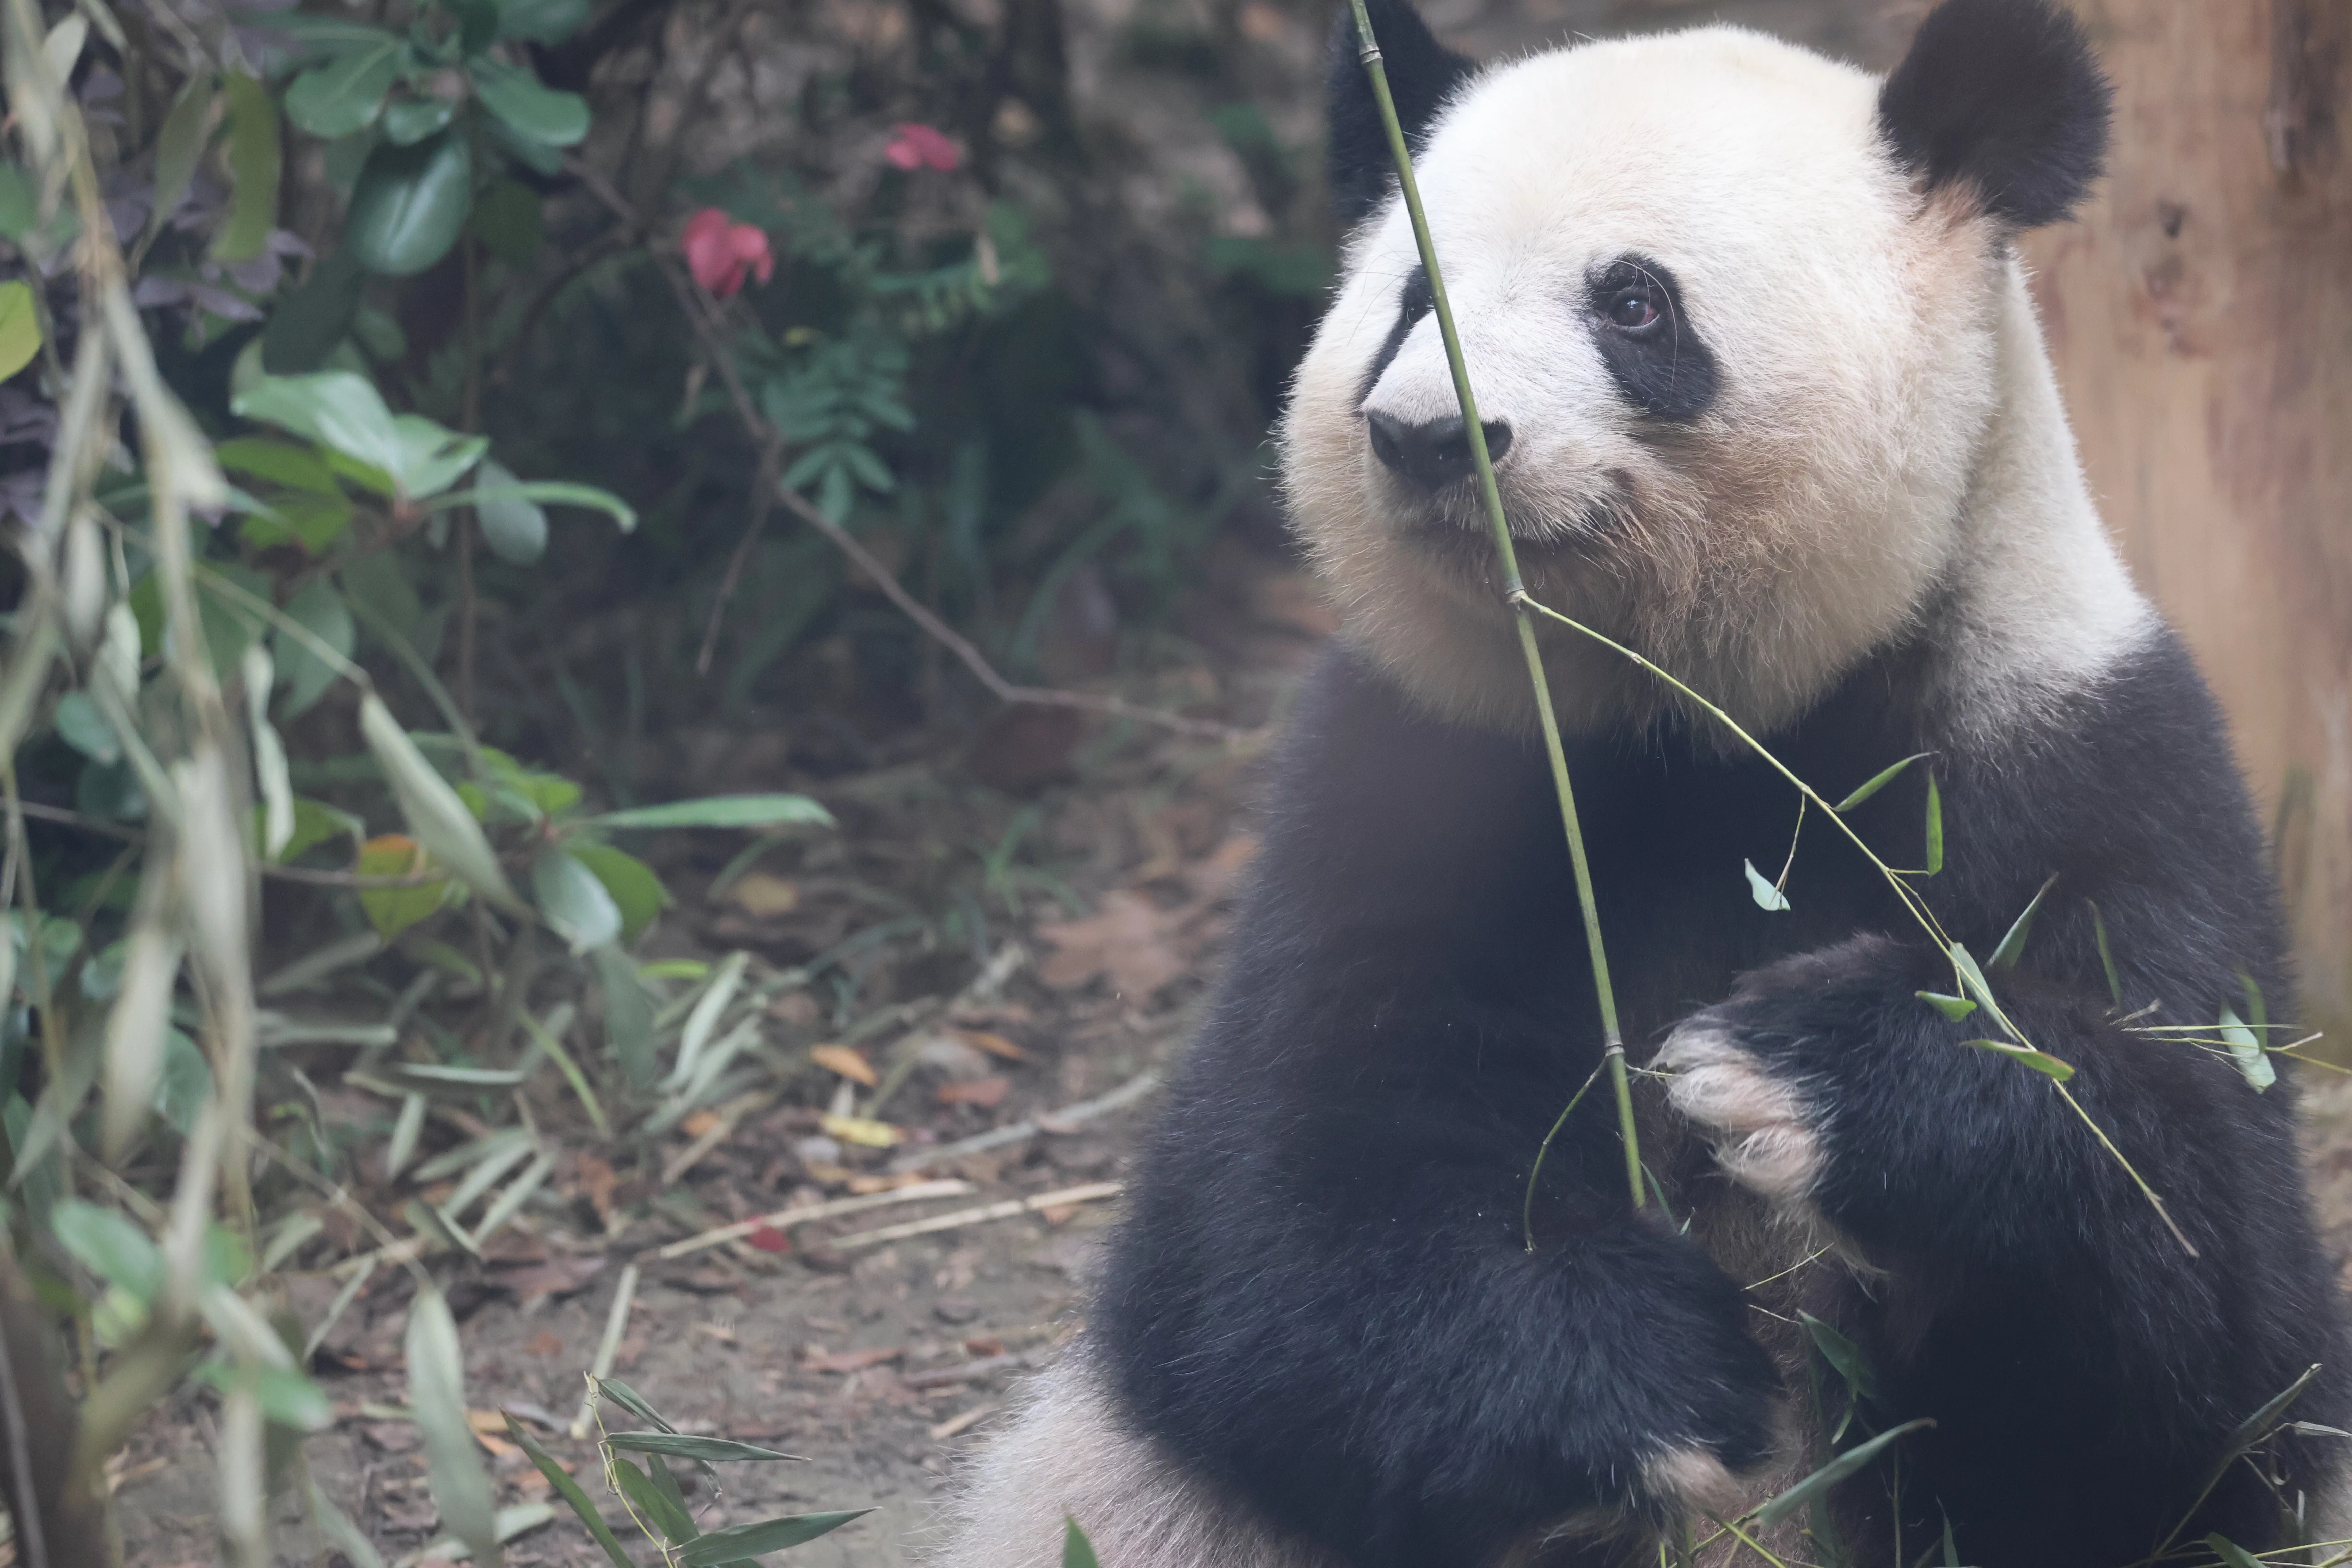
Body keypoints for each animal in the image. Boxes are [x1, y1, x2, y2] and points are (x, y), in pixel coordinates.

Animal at [939, 1, 2351, 1564]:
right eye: (1408, 301)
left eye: (1631, 304)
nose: (1426, 436)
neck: (1701, 715)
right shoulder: (1408, 772)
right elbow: (1268, 1230)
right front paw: (1635, 1377)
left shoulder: (2078, 760)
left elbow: (2219, 1360)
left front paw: (1815, 1068)